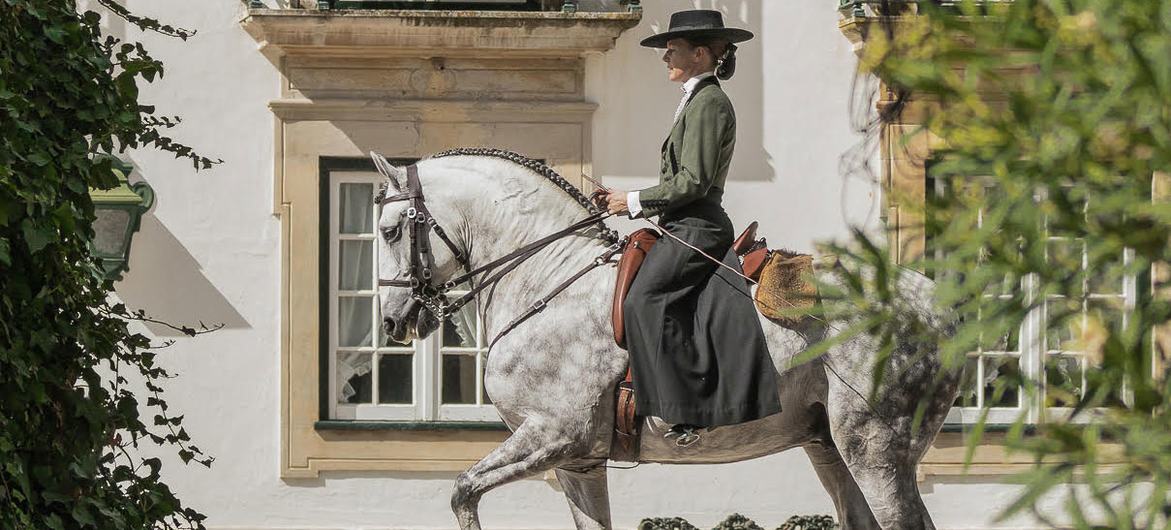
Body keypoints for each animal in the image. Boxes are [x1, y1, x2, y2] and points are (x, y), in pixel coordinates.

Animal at [374, 149, 960, 528]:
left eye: (388, 230)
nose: (393, 322)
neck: (548, 278)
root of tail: (935, 305)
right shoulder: (577, 461)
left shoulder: (551, 435)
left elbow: (461, 492)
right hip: (829, 447)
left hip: (876, 451)